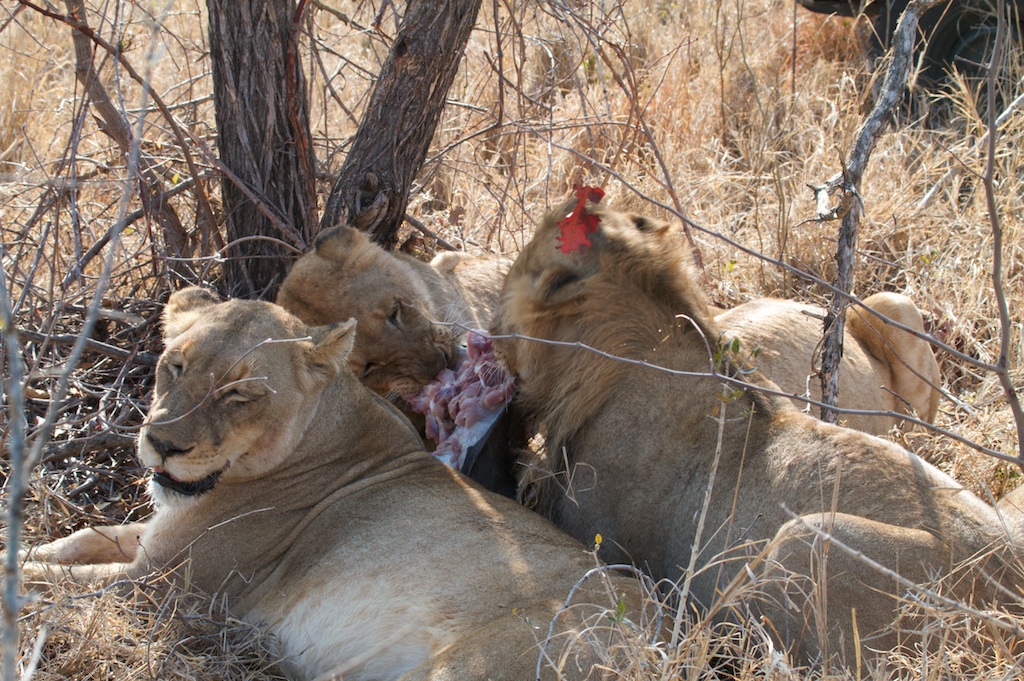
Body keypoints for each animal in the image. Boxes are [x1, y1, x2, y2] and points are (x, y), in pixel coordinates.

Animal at [22, 286, 647, 679]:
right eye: (175, 365)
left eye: (239, 393)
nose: (162, 443)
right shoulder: (157, 539)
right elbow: (76, 543)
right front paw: (32, 546)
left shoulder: (164, 585)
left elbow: (58, 583)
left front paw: (24, 574)